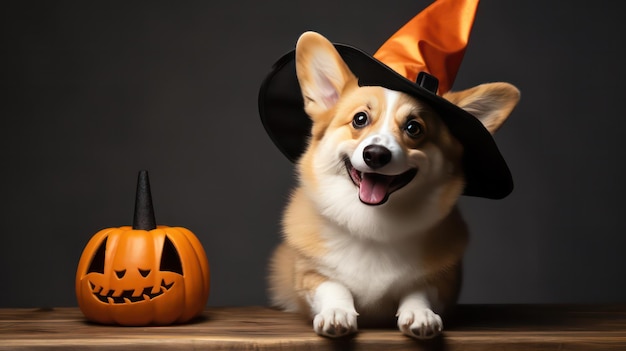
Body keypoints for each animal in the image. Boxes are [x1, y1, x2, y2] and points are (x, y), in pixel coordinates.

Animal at [266, 31, 516, 340]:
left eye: (414, 128)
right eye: (360, 119)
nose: (375, 154)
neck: (371, 225)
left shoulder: (441, 280)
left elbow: (419, 290)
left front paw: (420, 315)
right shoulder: (308, 274)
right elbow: (332, 286)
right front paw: (337, 313)